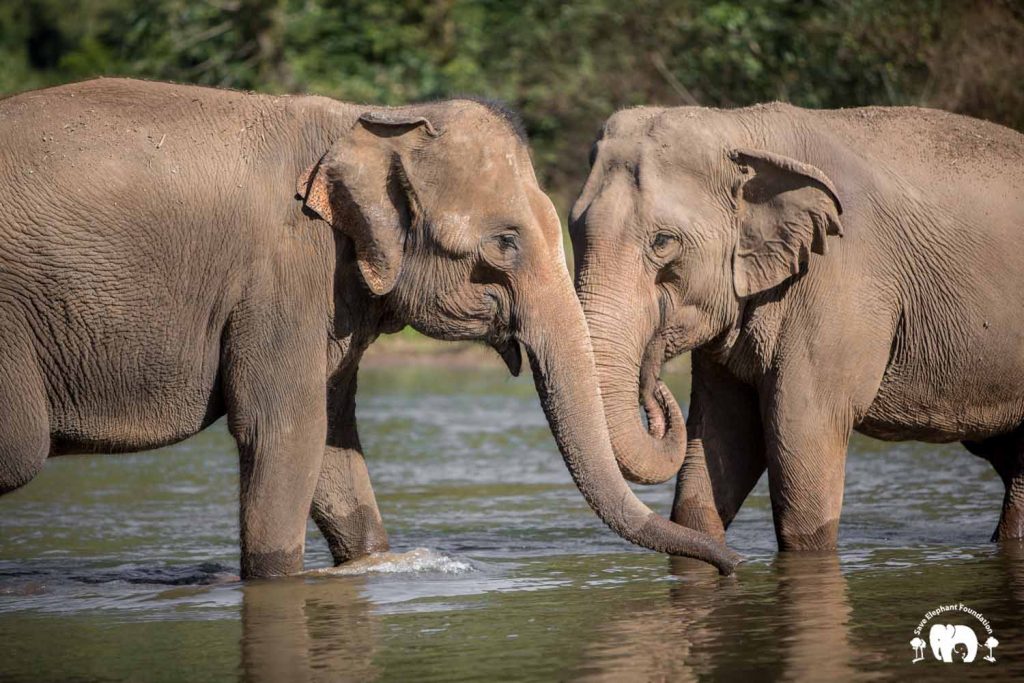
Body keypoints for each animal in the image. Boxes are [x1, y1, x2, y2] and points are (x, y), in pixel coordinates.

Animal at [0, 78, 741, 577]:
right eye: (504, 244)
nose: (731, 566)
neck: (369, 119)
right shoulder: (285, 276)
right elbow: (285, 432)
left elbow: (332, 444)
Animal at [569, 102, 1024, 548]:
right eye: (573, 229)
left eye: (663, 242)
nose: (656, 387)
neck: (740, 128)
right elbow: (722, 443)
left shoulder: (839, 280)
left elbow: (801, 449)